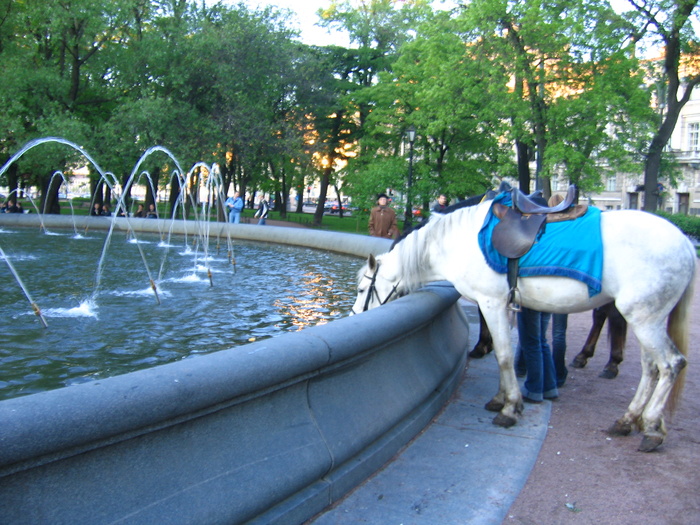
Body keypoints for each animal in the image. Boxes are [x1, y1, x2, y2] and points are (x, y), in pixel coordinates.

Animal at [352, 200, 696, 450]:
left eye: (361, 288)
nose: (355, 316)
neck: (457, 242)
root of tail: (686, 243)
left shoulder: (490, 303)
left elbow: (504, 355)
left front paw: (510, 408)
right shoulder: (503, 305)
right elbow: (502, 354)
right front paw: (500, 398)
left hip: (644, 318)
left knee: (670, 364)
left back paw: (651, 427)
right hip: (645, 319)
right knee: (650, 368)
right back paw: (628, 419)